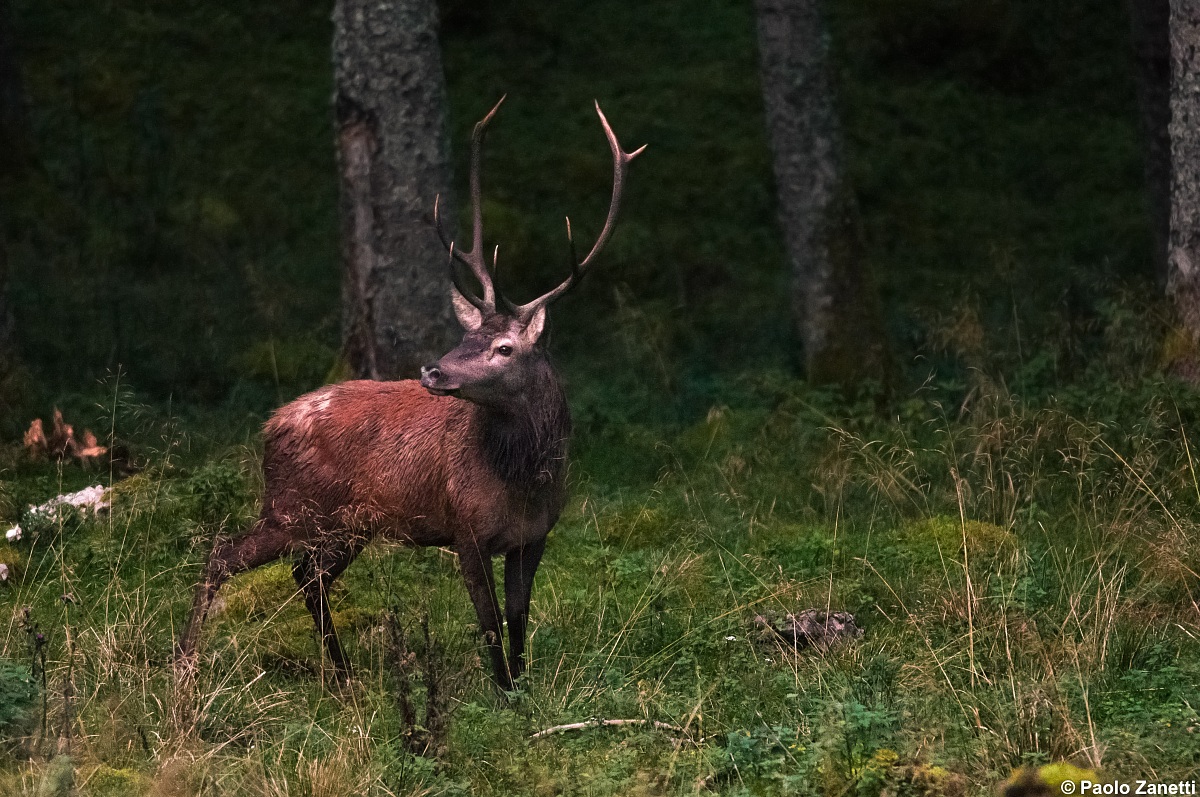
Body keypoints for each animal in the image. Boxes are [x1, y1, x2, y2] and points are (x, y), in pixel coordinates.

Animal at [175, 97, 644, 691]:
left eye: (504, 347)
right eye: (466, 336)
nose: (433, 370)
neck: (523, 480)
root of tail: (270, 424)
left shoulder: (535, 535)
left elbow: (518, 618)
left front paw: (523, 686)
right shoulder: (466, 528)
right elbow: (488, 621)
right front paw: (502, 692)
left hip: (347, 523)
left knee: (308, 575)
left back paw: (343, 675)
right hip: (291, 507)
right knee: (223, 554)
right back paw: (184, 665)